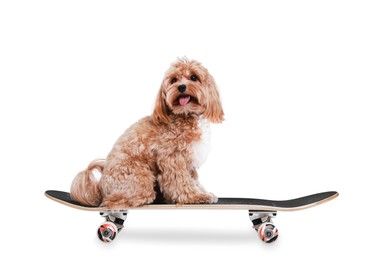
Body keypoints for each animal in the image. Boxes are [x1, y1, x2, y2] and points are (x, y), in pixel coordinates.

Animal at [70, 57, 224, 209]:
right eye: (174, 80)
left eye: (193, 77)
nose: (181, 87)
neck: (185, 115)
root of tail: (100, 186)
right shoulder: (173, 157)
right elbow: (181, 181)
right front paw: (195, 197)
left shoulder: (190, 160)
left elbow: (194, 179)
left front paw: (203, 192)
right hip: (139, 178)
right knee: (111, 201)